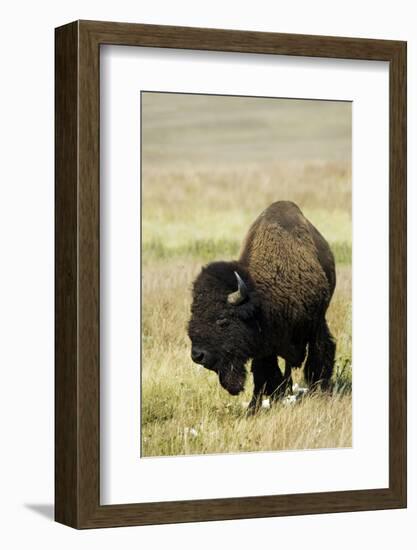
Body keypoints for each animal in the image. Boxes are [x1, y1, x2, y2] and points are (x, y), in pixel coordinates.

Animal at [188, 201, 334, 412]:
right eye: (193, 314)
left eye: (222, 321)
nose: (197, 355)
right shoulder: (264, 345)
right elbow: (263, 375)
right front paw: (254, 408)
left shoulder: (316, 325)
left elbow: (319, 358)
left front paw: (320, 392)